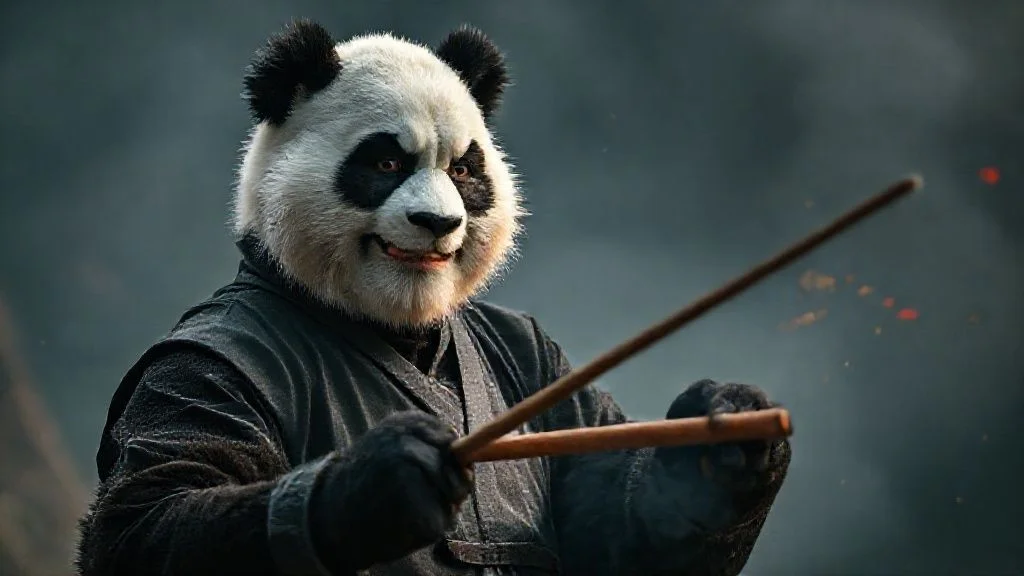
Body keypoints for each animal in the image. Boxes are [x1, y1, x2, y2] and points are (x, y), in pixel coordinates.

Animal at [76, 19, 790, 576]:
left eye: (464, 170)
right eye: (386, 163)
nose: (438, 223)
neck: (395, 320)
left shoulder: (539, 351)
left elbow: (613, 523)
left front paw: (725, 428)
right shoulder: (206, 367)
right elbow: (150, 519)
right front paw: (379, 484)